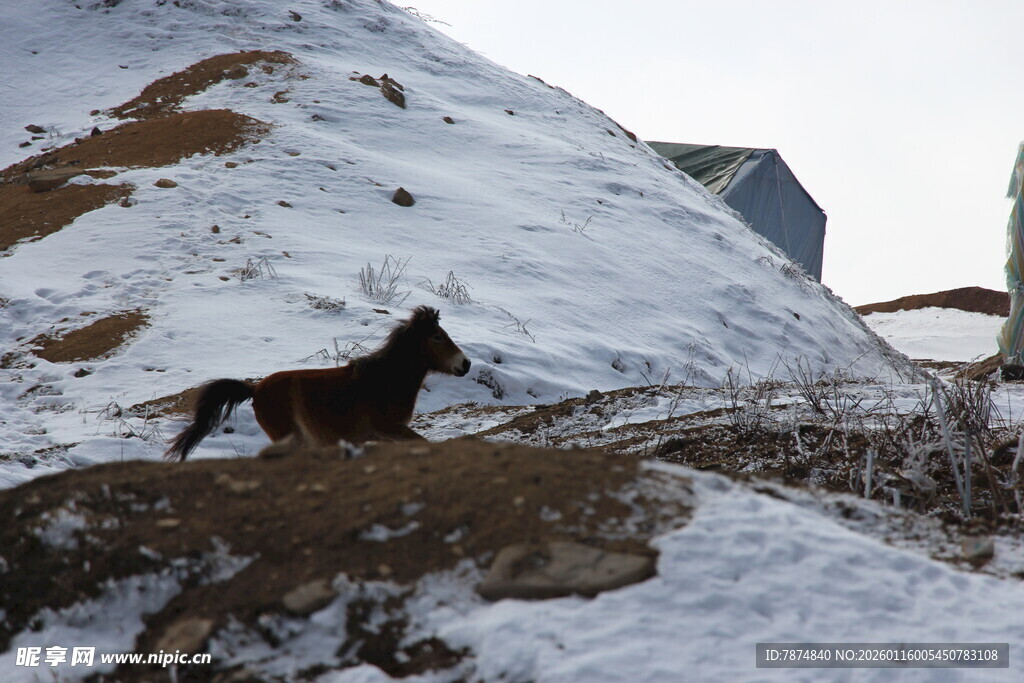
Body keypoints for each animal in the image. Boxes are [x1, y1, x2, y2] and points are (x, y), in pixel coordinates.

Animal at [164, 306, 470, 461]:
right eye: (438, 337)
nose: (465, 364)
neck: (382, 381)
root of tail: (254, 389)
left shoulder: (385, 436)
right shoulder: (389, 429)